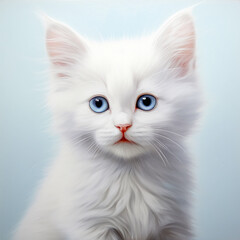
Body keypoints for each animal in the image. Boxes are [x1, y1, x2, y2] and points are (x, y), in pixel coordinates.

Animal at [13, 8, 202, 240]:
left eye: (146, 102)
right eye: (98, 104)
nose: (123, 126)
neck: (130, 178)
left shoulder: (175, 224)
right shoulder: (89, 225)